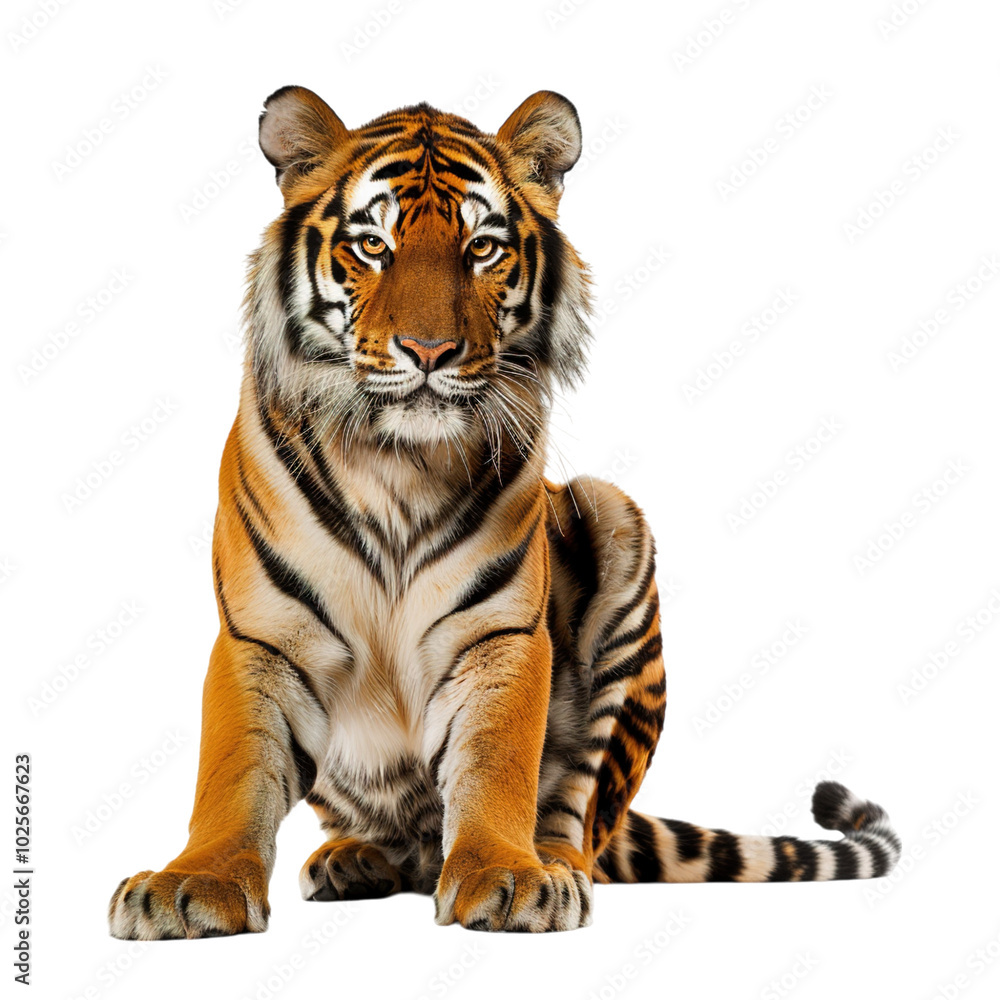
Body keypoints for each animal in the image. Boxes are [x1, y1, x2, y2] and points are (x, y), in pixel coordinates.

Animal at [108, 86, 901, 938]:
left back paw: (554, 867)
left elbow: (495, 763)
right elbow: (233, 770)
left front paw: (504, 876)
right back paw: (356, 858)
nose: (428, 351)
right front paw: (191, 883)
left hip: (614, 523)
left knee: (577, 812)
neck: (396, 463)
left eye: (482, 249)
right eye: (373, 245)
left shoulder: (498, 633)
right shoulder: (264, 636)